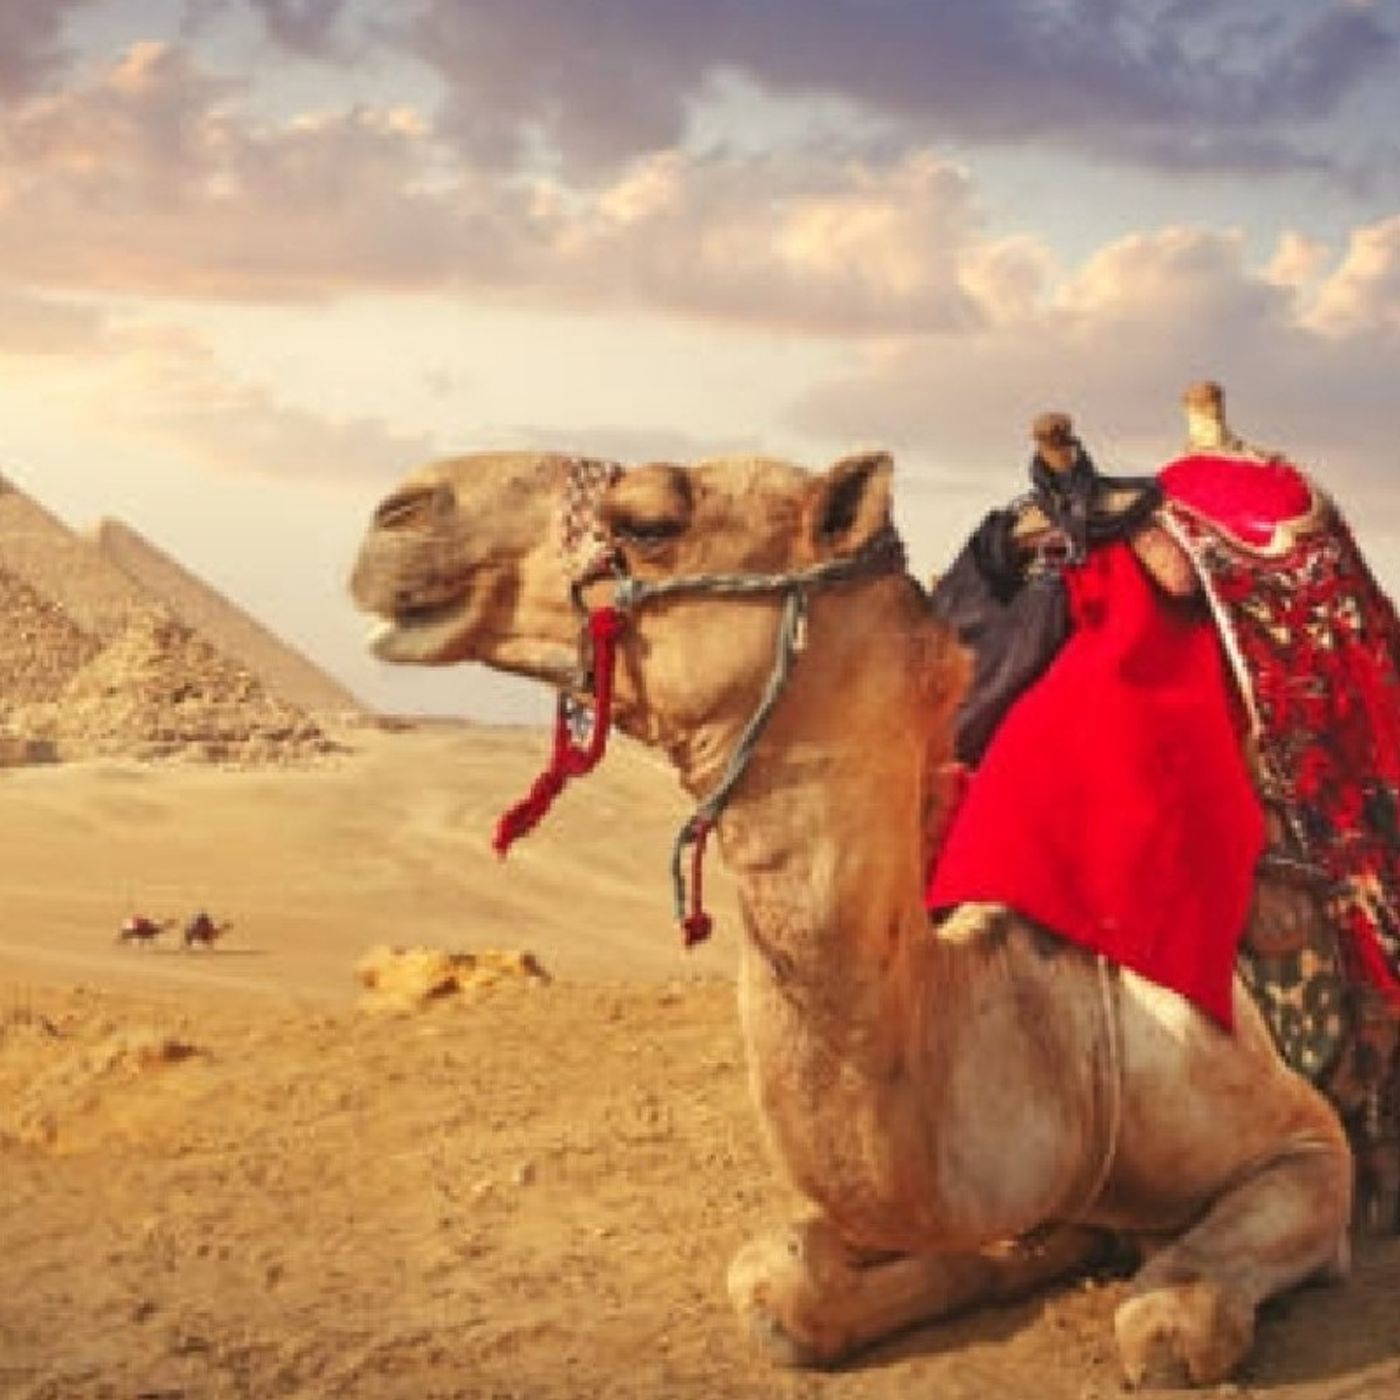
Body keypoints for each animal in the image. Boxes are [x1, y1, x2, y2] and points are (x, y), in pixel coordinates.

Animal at [350, 448, 1353, 1387]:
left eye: (649, 520)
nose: (398, 512)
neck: (1041, 1038)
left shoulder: (1308, 1144)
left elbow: (1169, 1320)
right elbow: (777, 1276)